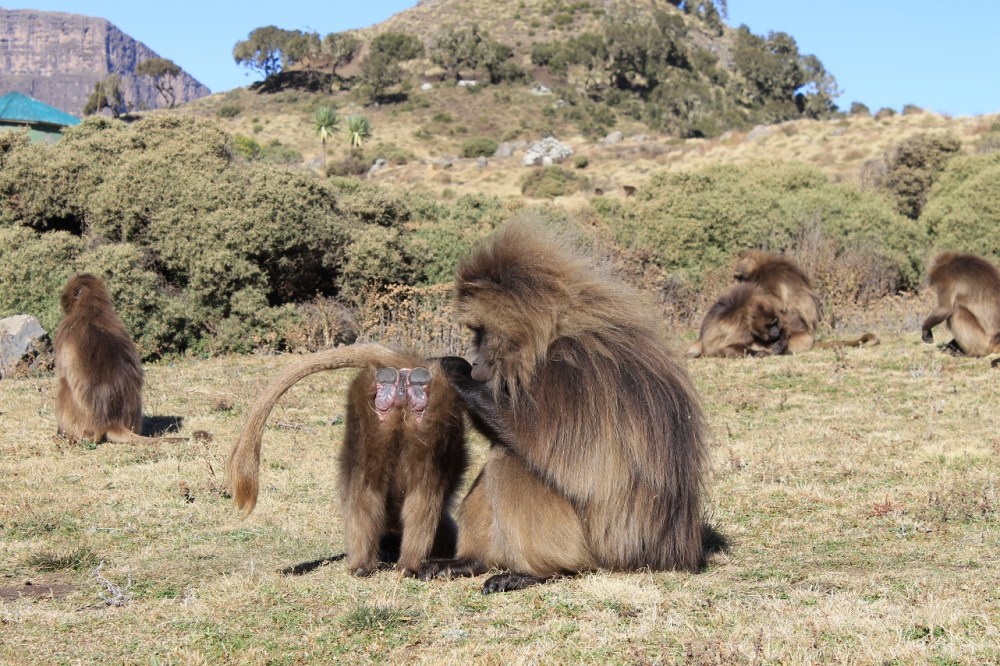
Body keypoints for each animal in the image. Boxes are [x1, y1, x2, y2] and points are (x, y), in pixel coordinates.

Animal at [417, 221, 708, 594]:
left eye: (481, 333)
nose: (477, 361)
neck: (553, 334)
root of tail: (668, 554)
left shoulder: (572, 371)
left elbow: (551, 448)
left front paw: (455, 371)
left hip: (596, 551)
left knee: (509, 458)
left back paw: (533, 572)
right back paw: (468, 562)